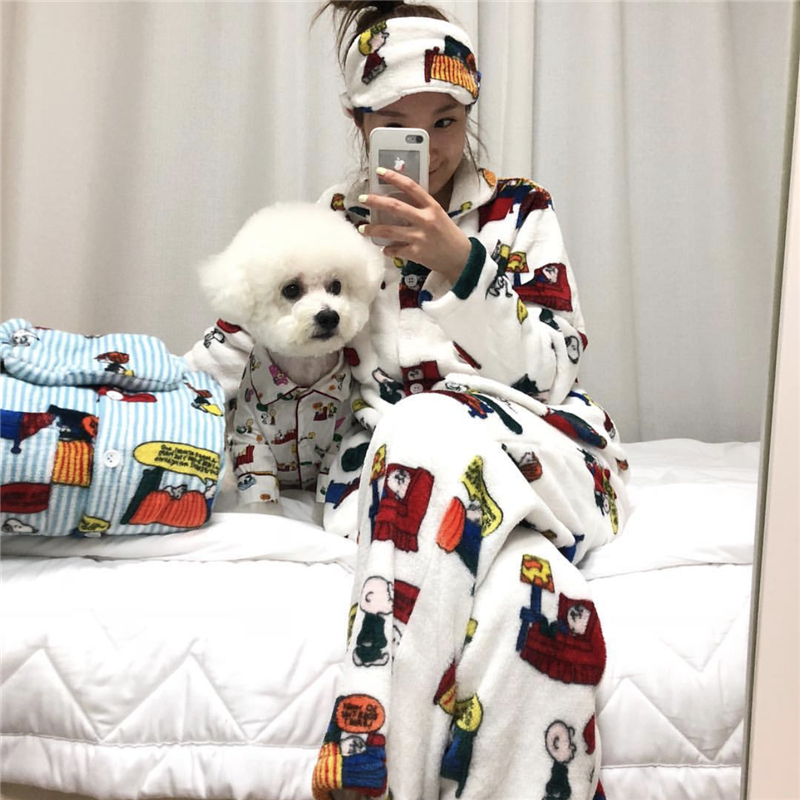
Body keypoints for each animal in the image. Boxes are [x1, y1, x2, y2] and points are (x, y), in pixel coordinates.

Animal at [199, 202, 384, 507]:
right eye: (292, 289)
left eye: (336, 286)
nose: (329, 316)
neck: (304, 375)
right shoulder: (251, 440)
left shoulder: (336, 441)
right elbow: (260, 491)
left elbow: (325, 486)